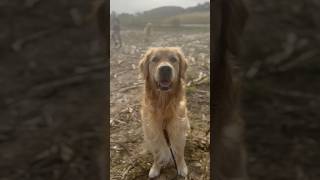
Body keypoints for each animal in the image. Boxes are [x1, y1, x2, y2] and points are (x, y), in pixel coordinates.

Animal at [139, 47, 189, 178]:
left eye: (173, 59)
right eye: (154, 59)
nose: (165, 69)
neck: (164, 105)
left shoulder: (179, 132)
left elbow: (180, 153)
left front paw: (182, 167)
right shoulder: (153, 133)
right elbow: (156, 154)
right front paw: (155, 168)